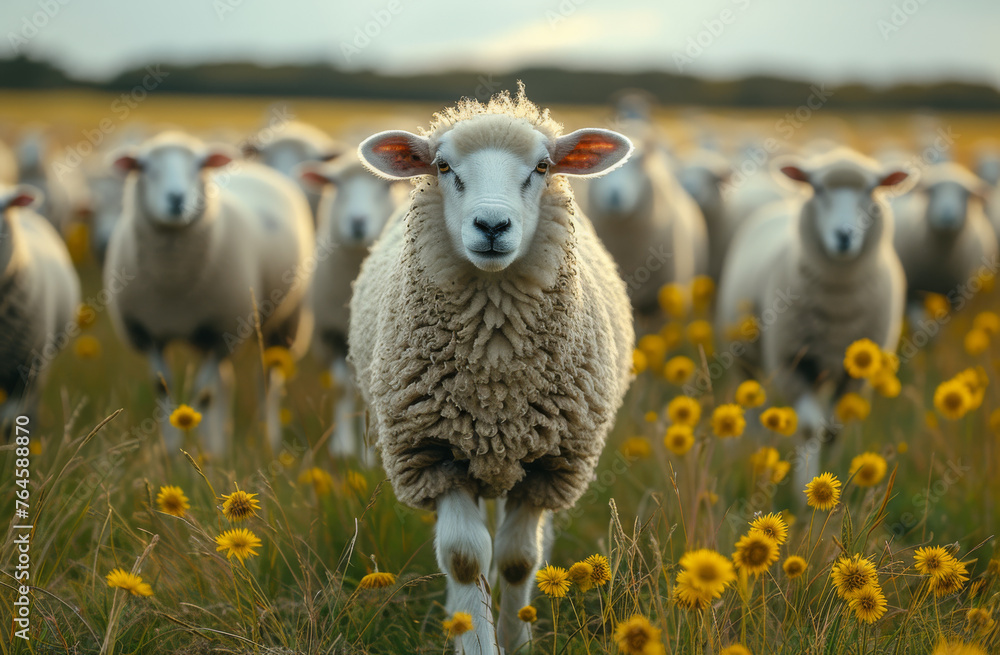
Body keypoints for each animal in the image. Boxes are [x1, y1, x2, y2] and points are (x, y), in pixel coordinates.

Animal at [104, 131, 315, 455]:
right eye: (145, 167)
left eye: (198, 166)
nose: (176, 199)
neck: (173, 280)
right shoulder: (151, 335)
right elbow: (163, 389)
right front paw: (173, 451)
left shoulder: (221, 332)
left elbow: (203, 394)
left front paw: (197, 453)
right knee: (226, 382)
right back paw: (220, 445)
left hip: (283, 324)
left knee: (266, 381)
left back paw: (267, 441)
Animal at [296, 152, 404, 462]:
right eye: (336, 185)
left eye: (385, 187)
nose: (358, 221)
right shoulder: (332, 334)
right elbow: (342, 389)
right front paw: (343, 449)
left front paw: (366, 456)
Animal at [350, 89, 634, 655]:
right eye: (442, 166)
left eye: (543, 167)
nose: (492, 227)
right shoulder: (434, 454)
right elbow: (465, 559)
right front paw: (476, 638)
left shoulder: (550, 464)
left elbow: (518, 559)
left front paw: (515, 637)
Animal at [716, 148, 912, 493]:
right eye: (818, 189)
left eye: (871, 189)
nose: (844, 235)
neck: (839, 306)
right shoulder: (793, 361)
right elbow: (809, 428)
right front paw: (804, 490)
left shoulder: (854, 378)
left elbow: (834, 429)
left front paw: (833, 479)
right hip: (744, 355)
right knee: (751, 403)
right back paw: (752, 447)